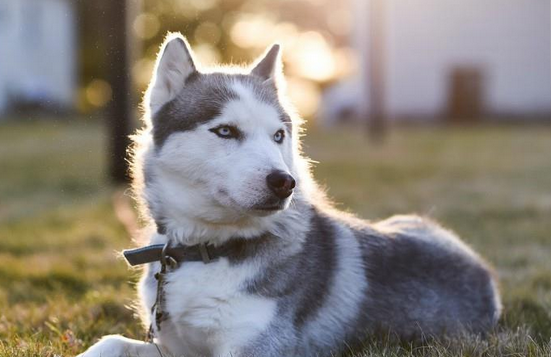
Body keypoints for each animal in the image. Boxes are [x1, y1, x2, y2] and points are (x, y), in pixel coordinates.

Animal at [78, 34, 504, 356]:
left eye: (278, 135)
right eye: (225, 131)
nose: (283, 182)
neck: (205, 249)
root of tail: (485, 275)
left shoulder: (258, 348)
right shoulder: (173, 346)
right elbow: (110, 341)